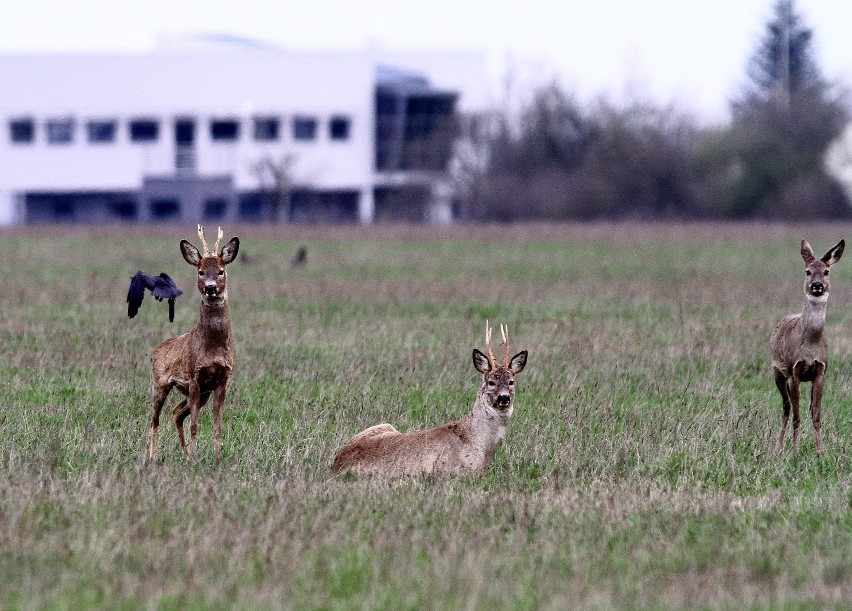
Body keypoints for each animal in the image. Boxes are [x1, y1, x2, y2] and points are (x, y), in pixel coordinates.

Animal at [149, 225, 240, 460]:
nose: (210, 288)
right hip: (159, 383)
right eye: (200, 271)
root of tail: (155, 351)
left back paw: (185, 454)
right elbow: (195, 425)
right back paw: (152, 456)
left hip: (200, 393)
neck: (213, 346)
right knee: (155, 419)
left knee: (176, 413)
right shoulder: (194, 377)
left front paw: (217, 457)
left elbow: (217, 425)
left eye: (221, 270)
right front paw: (196, 457)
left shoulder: (221, 379)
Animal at [772, 238, 844, 454]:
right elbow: (796, 416)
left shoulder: (820, 370)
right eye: (807, 271)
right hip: (778, 373)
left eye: (827, 271)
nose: (817, 285)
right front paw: (794, 451)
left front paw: (821, 451)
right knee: (786, 409)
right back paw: (777, 448)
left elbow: (816, 414)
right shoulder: (794, 371)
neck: (811, 346)